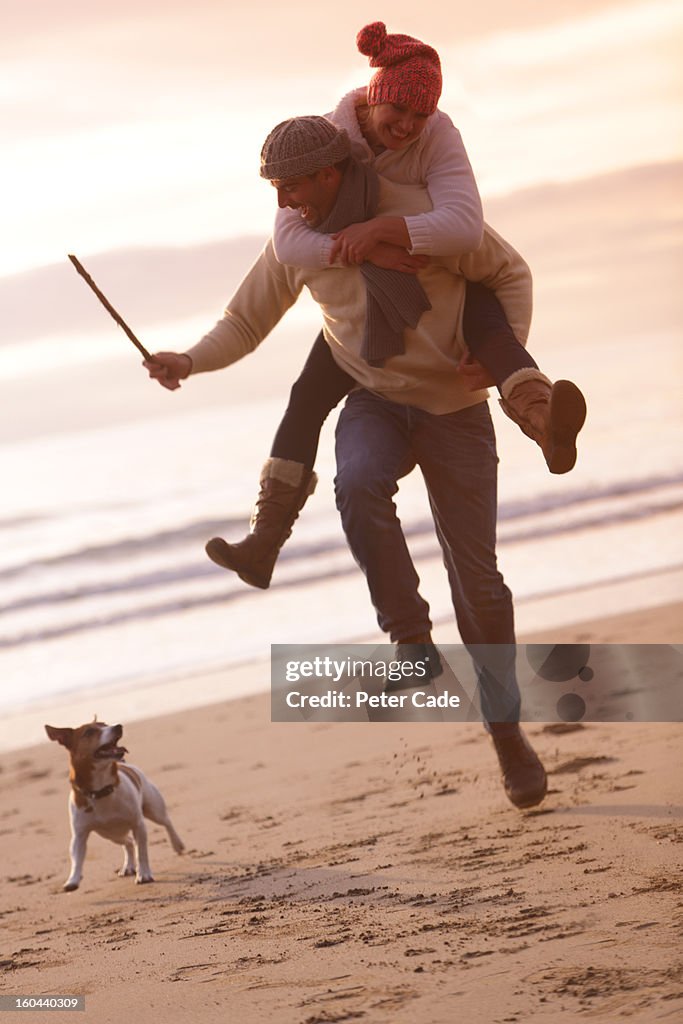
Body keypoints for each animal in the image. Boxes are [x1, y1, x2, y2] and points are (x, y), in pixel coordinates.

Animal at [45, 716, 185, 892]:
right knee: (128, 842)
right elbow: (76, 859)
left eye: (105, 724)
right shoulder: (79, 835)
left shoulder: (138, 824)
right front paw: (73, 880)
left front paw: (144, 874)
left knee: (166, 822)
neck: (100, 791)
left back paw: (177, 844)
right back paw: (128, 866)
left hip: (153, 808)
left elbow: (142, 853)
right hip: (111, 835)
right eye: (89, 732)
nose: (118, 726)